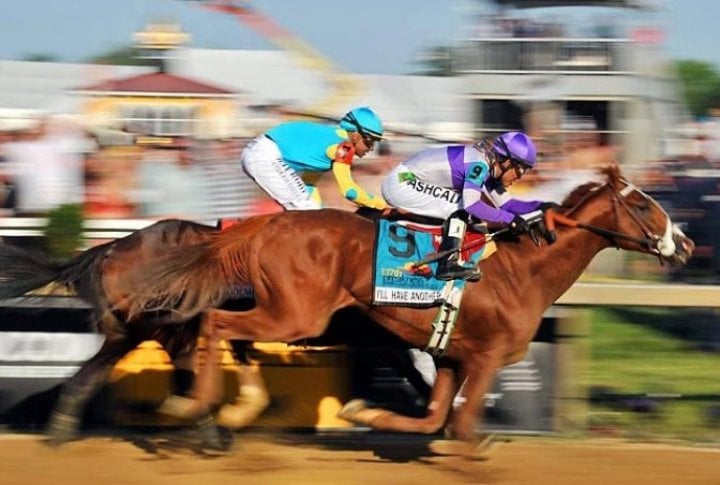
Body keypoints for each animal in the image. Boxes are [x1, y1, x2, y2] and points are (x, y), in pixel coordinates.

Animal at [121, 164, 696, 448]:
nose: (686, 244)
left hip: (286, 311)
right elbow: (461, 431)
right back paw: (196, 406)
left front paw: (363, 411)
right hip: (296, 313)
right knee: (216, 322)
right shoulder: (486, 358)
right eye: (644, 204)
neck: (523, 270)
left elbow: (433, 420)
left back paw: (225, 408)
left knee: (223, 331)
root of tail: (263, 224)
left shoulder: (452, 357)